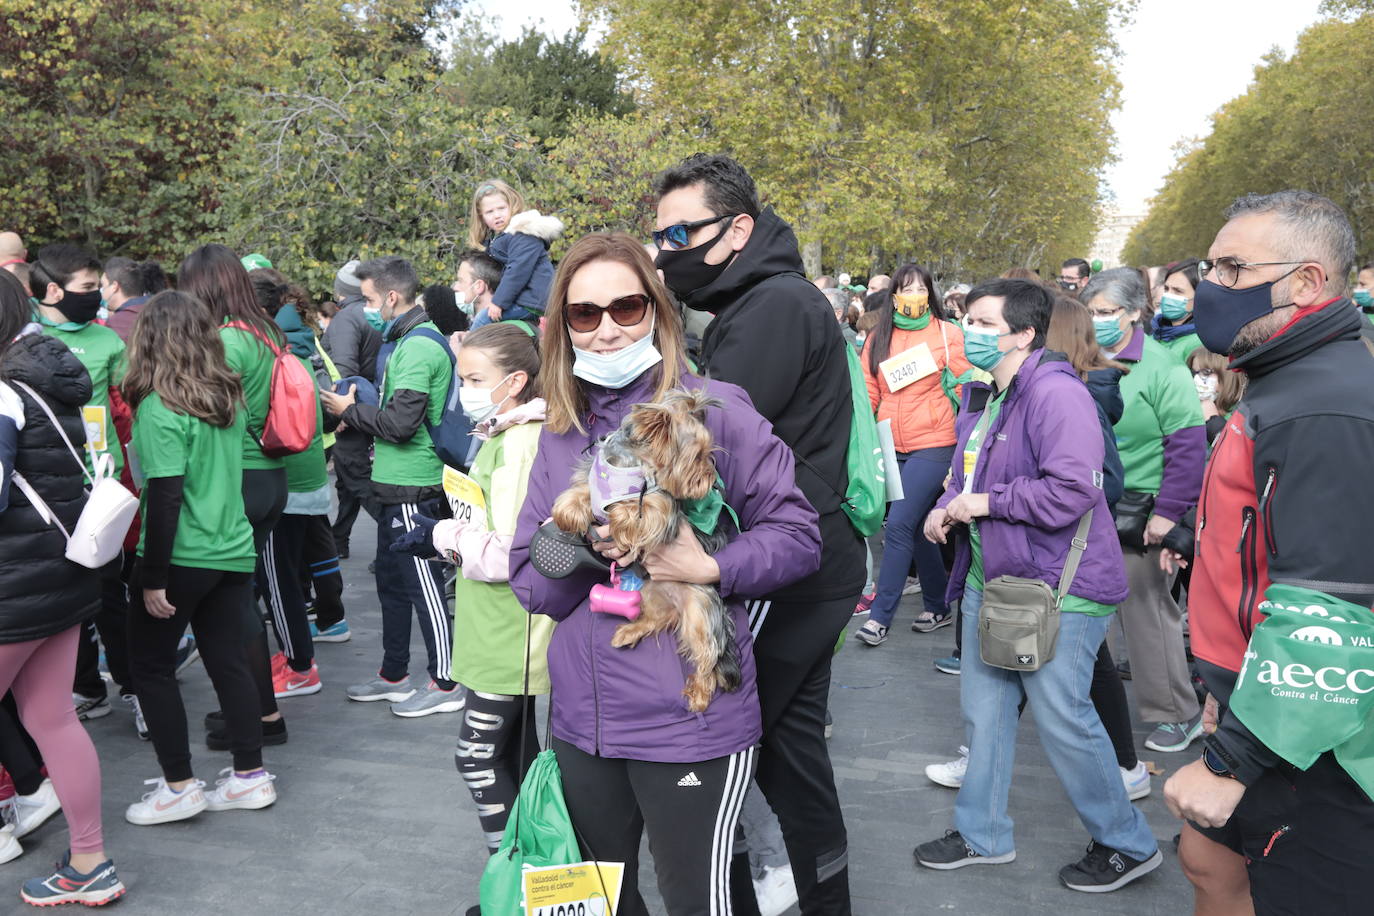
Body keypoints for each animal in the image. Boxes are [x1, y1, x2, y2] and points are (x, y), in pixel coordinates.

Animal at [546, 390, 741, 714]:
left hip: (699, 608)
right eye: (697, 455)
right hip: (650, 591)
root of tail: (675, 605)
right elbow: (577, 494)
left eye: (706, 453)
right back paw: (628, 633)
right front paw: (568, 515)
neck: (629, 464)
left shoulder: (661, 509)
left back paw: (699, 695)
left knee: (707, 654)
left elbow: (635, 512)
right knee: (654, 619)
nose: (712, 478)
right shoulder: (591, 478)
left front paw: (618, 517)